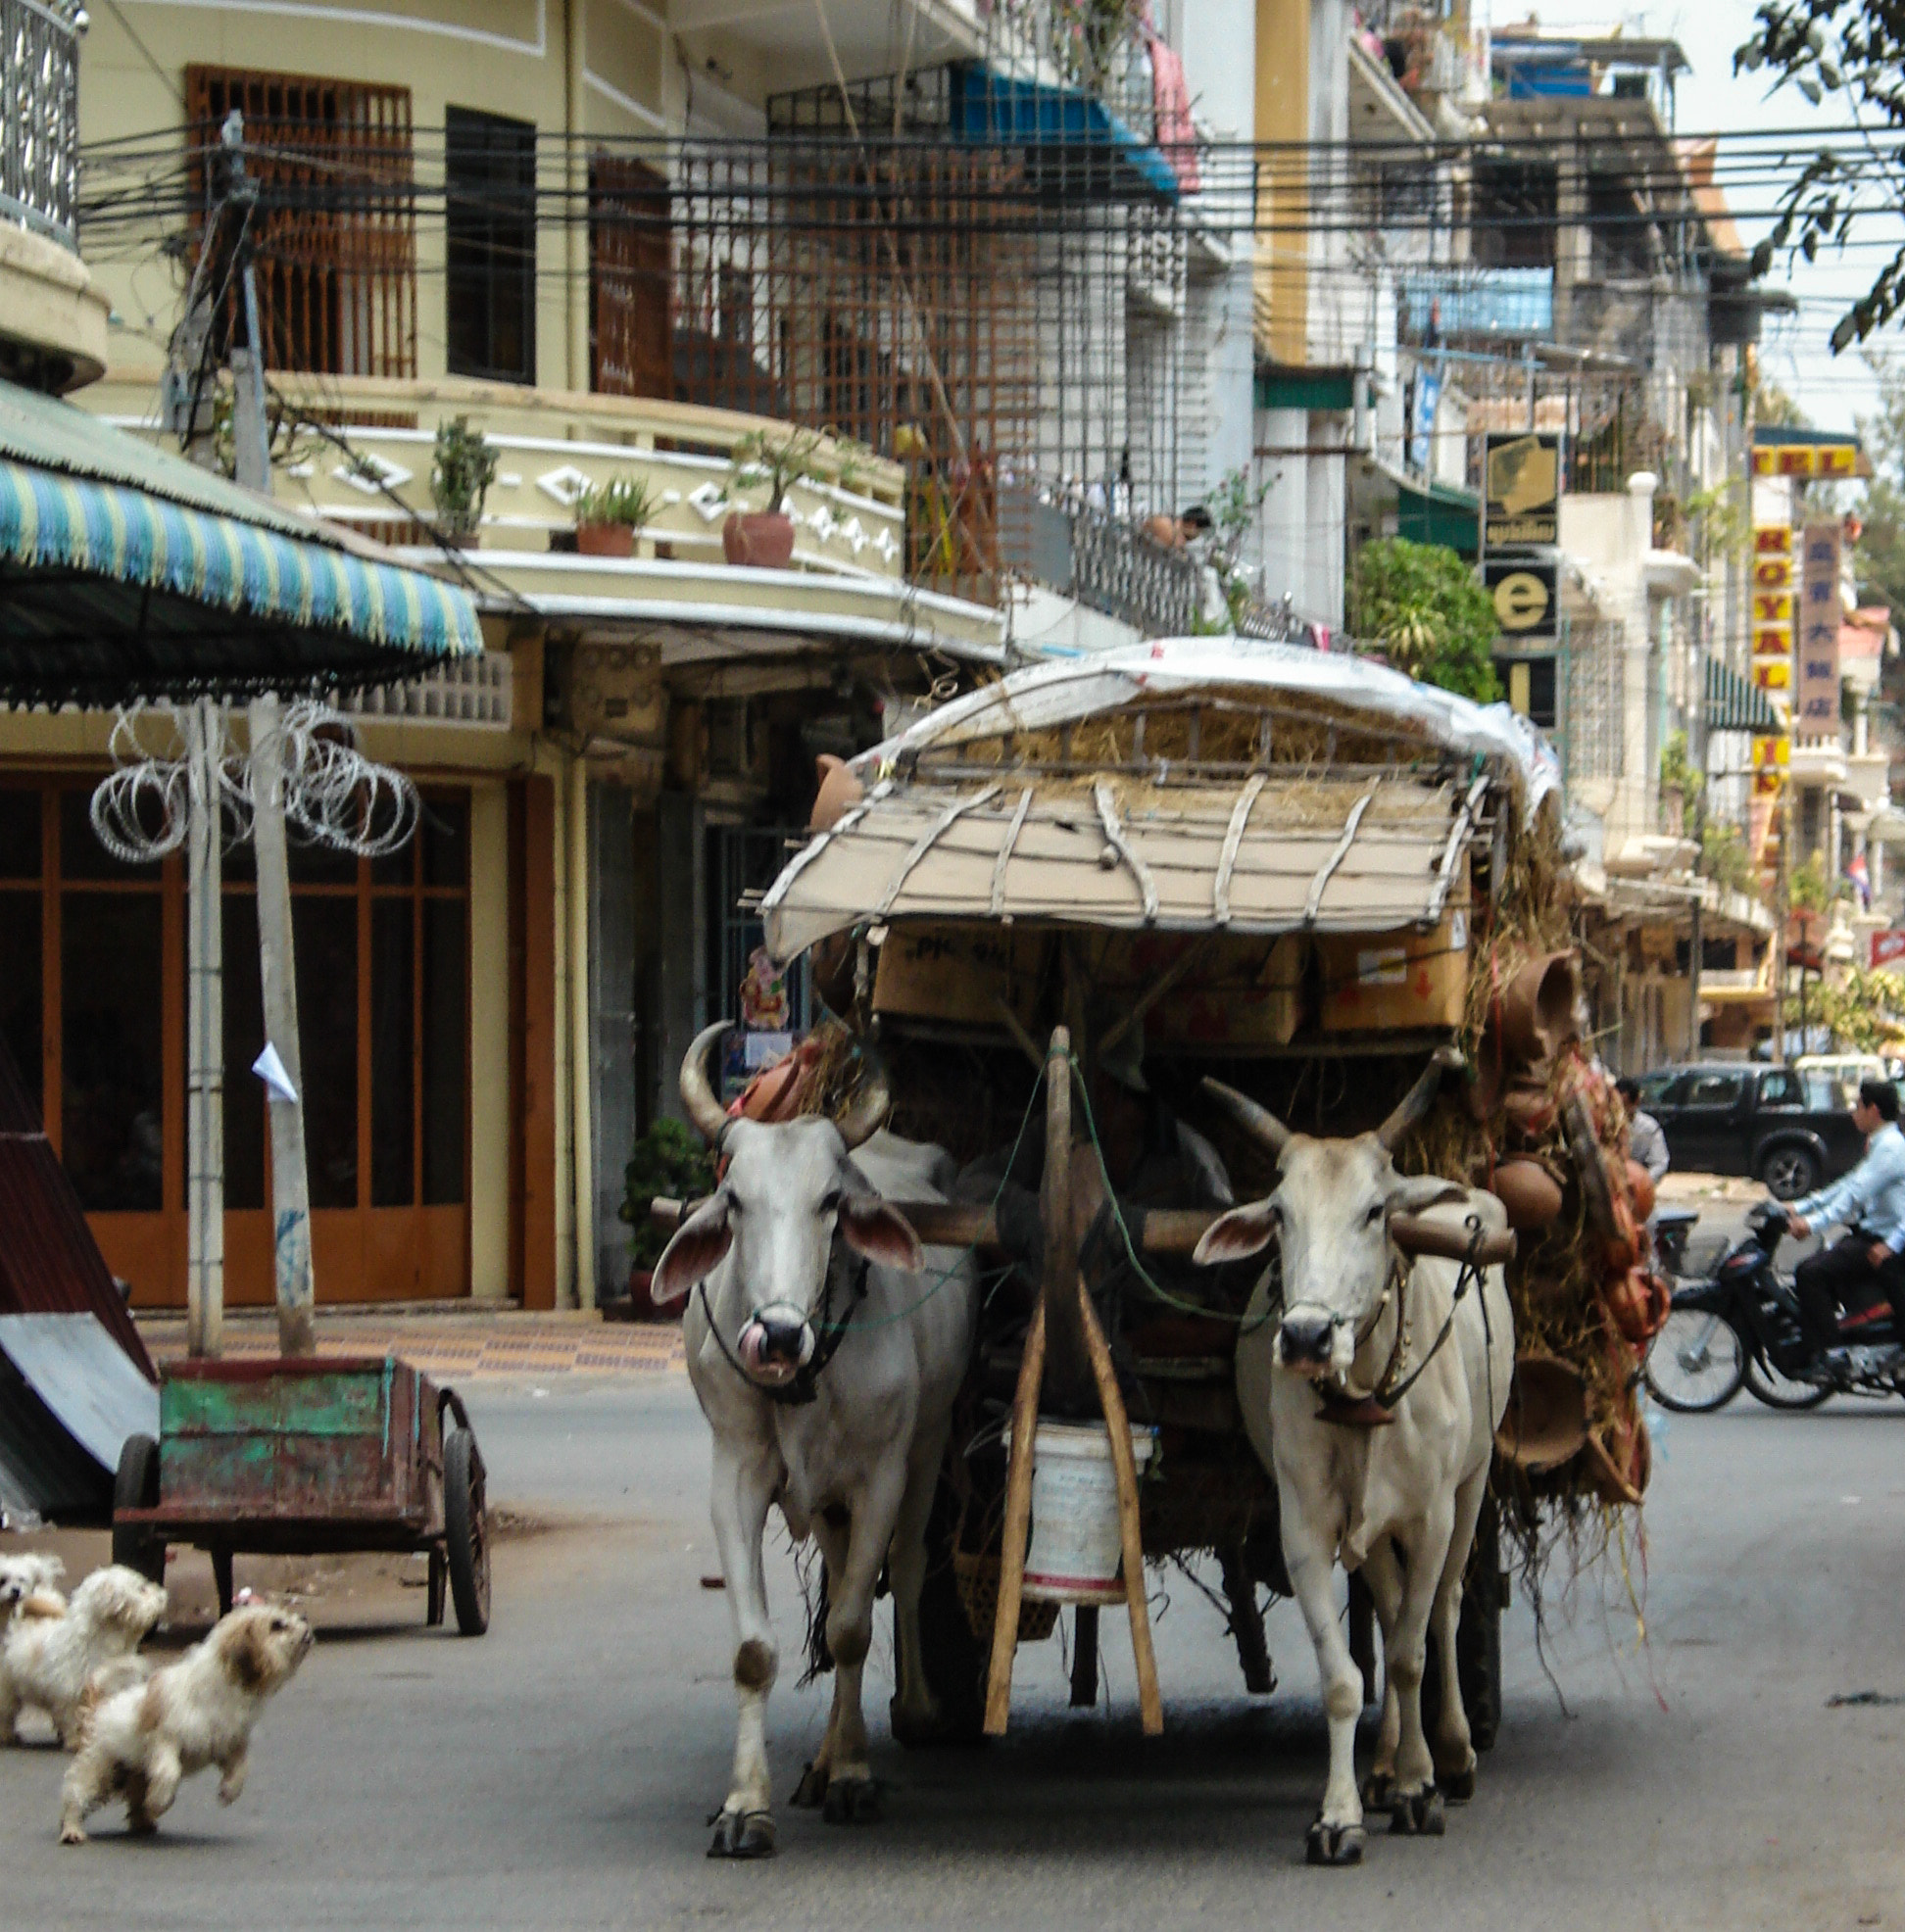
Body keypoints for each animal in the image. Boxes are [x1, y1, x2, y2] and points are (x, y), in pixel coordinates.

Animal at [0, 1569, 167, 1754]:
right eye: (141, 1589)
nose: (161, 1594)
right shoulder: (72, 1695)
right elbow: (74, 1719)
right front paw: (77, 1741)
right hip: (7, 1689)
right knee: (6, 1713)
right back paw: (6, 1735)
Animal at [60, 1591, 311, 1847]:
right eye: (276, 1625)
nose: (304, 1617)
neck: (220, 1686)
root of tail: (101, 1706)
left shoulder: (228, 1743)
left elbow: (241, 1768)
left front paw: (228, 1791)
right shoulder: (165, 1740)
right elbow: (169, 1772)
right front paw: (160, 1800)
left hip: (130, 1774)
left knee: (135, 1800)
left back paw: (144, 1822)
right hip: (99, 1768)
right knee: (75, 1795)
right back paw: (72, 1830)